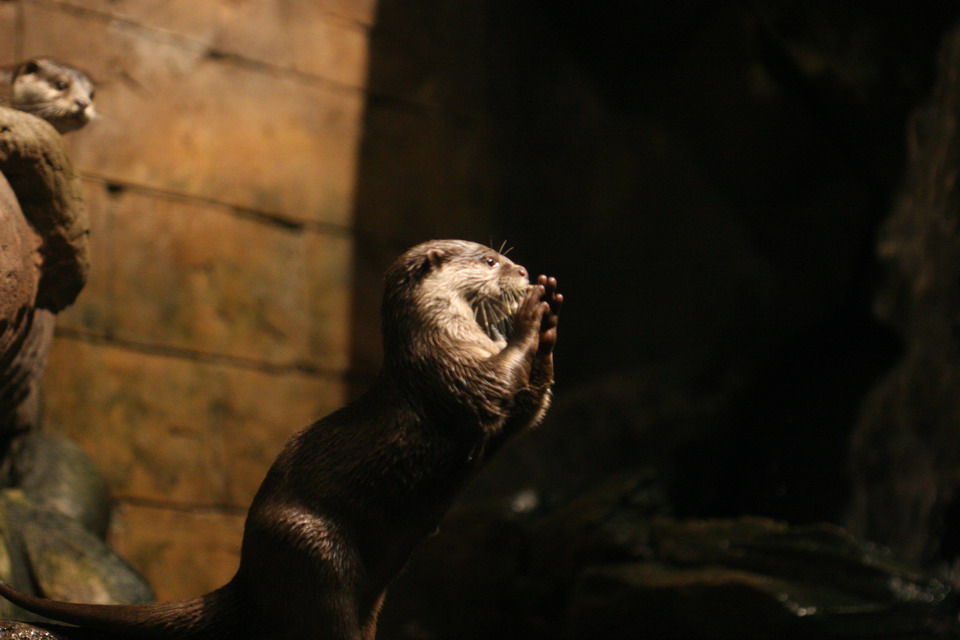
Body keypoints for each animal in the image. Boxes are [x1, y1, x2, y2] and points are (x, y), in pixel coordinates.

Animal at [0, 239, 562, 639]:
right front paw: (535, 315)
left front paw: (550, 327)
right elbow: (498, 387)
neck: (444, 337)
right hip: (315, 552)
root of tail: (246, 577)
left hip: (366, 590)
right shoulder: (449, 374)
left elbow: (526, 412)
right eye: (490, 259)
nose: (523, 272)